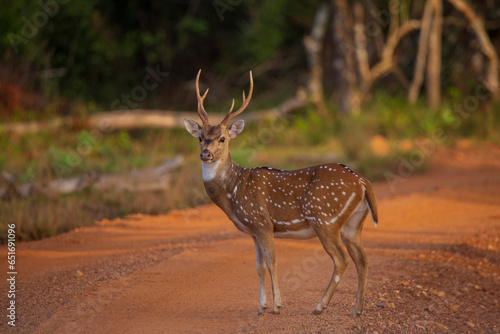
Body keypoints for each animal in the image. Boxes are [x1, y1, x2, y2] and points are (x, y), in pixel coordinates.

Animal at [184, 70, 378, 316]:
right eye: (200, 138)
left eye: (222, 138)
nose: (206, 154)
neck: (233, 192)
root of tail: (363, 182)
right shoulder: (253, 231)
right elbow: (259, 266)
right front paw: (261, 306)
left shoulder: (262, 222)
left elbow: (272, 263)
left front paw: (277, 306)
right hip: (354, 223)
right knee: (363, 259)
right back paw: (357, 310)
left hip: (325, 219)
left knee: (341, 259)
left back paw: (319, 306)